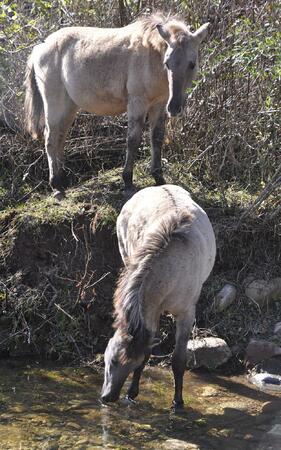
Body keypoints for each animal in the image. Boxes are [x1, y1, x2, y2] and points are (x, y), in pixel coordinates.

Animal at [24, 13, 208, 199]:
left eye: (192, 64)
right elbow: (133, 140)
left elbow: (157, 138)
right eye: (167, 63)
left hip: (69, 108)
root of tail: (40, 47)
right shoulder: (137, 103)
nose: (174, 107)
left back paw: (62, 181)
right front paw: (127, 182)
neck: (152, 56)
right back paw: (56, 186)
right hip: (54, 104)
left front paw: (159, 178)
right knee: (50, 138)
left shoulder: (159, 104)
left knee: (60, 138)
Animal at [100, 185, 214, 410]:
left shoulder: (186, 314)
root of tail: (158, 186)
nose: (106, 397)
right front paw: (131, 393)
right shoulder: (151, 312)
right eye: (109, 360)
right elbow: (146, 353)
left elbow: (178, 360)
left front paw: (178, 402)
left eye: (122, 362)